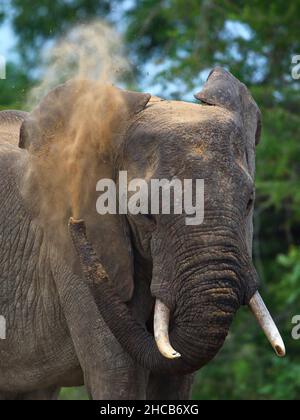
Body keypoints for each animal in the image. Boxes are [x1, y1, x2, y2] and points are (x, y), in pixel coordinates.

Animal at [0, 67, 284, 398]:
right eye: (145, 213)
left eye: (249, 201)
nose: (76, 224)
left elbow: (176, 377)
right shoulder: (72, 257)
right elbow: (118, 373)